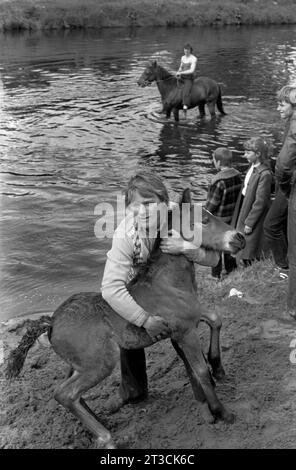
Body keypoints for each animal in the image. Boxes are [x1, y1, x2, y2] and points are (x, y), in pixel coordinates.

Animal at [6, 189, 245, 450]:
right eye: (204, 219)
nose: (239, 238)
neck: (167, 284)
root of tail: (51, 321)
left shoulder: (190, 318)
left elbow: (215, 319)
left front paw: (218, 368)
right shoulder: (185, 331)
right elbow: (200, 370)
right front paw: (222, 412)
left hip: (78, 364)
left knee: (71, 394)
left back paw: (99, 426)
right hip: (99, 363)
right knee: (65, 394)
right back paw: (106, 438)